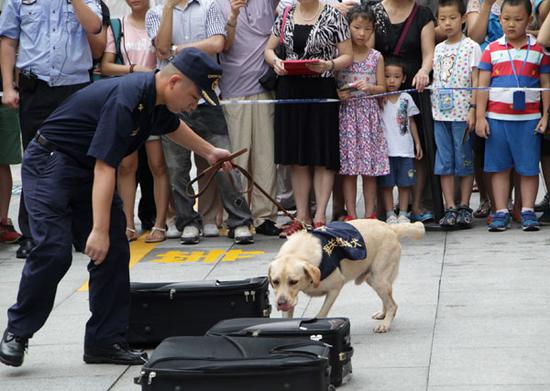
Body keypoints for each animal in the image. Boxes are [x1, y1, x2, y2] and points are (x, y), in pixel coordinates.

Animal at [270, 219, 424, 332]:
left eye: (293, 281)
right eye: (275, 282)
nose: (281, 303)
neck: (298, 252)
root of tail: (390, 228)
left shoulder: (335, 288)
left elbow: (321, 314)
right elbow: (286, 318)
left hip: (378, 278)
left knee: (393, 304)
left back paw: (385, 324)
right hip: (374, 279)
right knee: (387, 300)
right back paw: (383, 314)